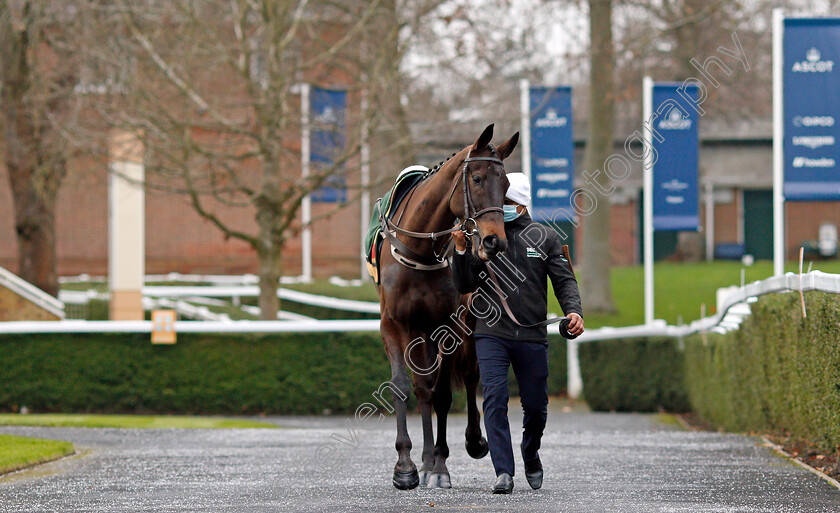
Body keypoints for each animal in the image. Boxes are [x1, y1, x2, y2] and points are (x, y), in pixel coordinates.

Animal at [376, 124, 520, 488]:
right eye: (478, 179)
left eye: (506, 185)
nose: (494, 241)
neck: (419, 253)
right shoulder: (394, 324)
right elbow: (405, 386)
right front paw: (407, 466)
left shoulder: (450, 324)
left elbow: (443, 392)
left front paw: (440, 465)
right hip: (420, 330)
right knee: (423, 386)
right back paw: (425, 459)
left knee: (469, 375)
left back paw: (472, 440)